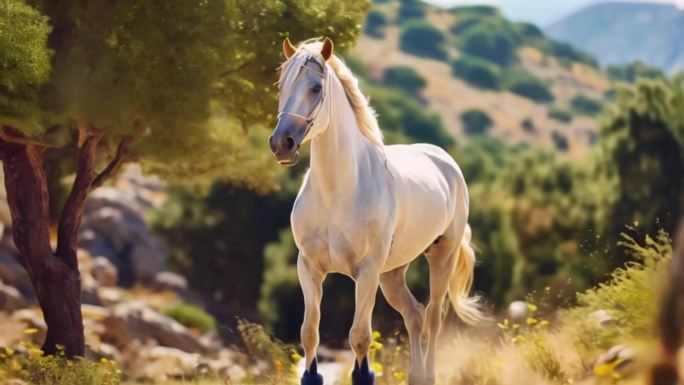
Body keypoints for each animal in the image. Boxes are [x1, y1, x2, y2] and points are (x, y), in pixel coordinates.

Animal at [268, 37, 486, 384]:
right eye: (281, 85)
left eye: (316, 88)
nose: (281, 144)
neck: (337, 192)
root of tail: (445, 160)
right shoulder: (310, 267)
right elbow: (309, 332)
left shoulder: (366, 271)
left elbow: (359, 336)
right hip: (392, 274)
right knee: (414, 315)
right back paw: (416, 375)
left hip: (441, 258)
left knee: (433, 317)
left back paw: (429, 374)